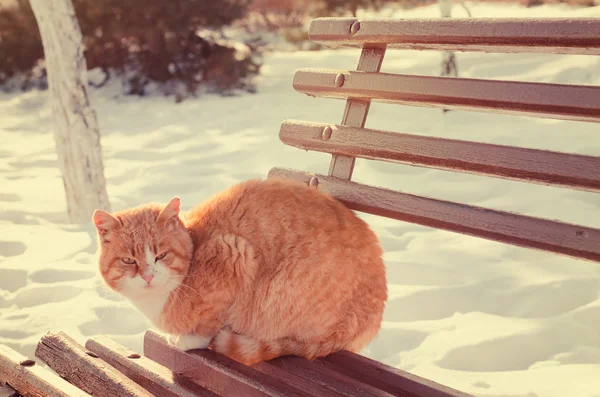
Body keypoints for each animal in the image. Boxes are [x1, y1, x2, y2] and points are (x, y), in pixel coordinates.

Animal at [91, 178, 386, 364]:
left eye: (161, 255)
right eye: (129, 260)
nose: (148, 276)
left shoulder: (233, 254)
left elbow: (207, 327)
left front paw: (188, 340)